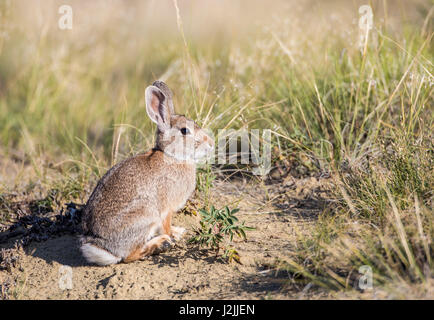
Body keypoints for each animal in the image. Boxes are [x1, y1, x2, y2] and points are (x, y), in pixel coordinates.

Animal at [79, 80, 214, 264]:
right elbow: (166, 225)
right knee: (130, 256)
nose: (211, 144)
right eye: (185, 131)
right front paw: (173, 236)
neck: (171, 156)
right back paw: (160, 244)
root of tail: (102, 246)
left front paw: (178, 231)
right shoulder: (166, 208)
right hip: (145, 215)